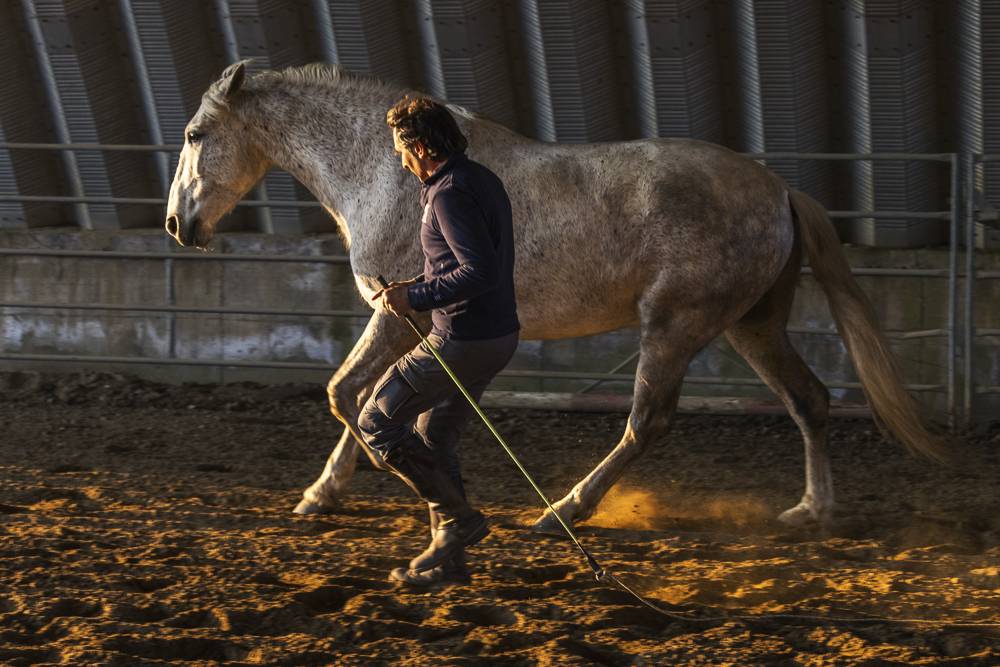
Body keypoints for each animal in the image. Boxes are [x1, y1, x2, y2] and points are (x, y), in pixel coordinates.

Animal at [165, 61, 947, 533]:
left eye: (196, 134)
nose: (178, 224)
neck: (387, 175)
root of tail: (782, 190)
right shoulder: (420, 327)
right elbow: (369, 399)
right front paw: (335, 490)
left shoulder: (398, 312)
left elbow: (345, 393)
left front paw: (358, 484)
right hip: (751, 326)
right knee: (809, 399)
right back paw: (811, 509)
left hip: (676, 325)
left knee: (647, 421)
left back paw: (566, 509)